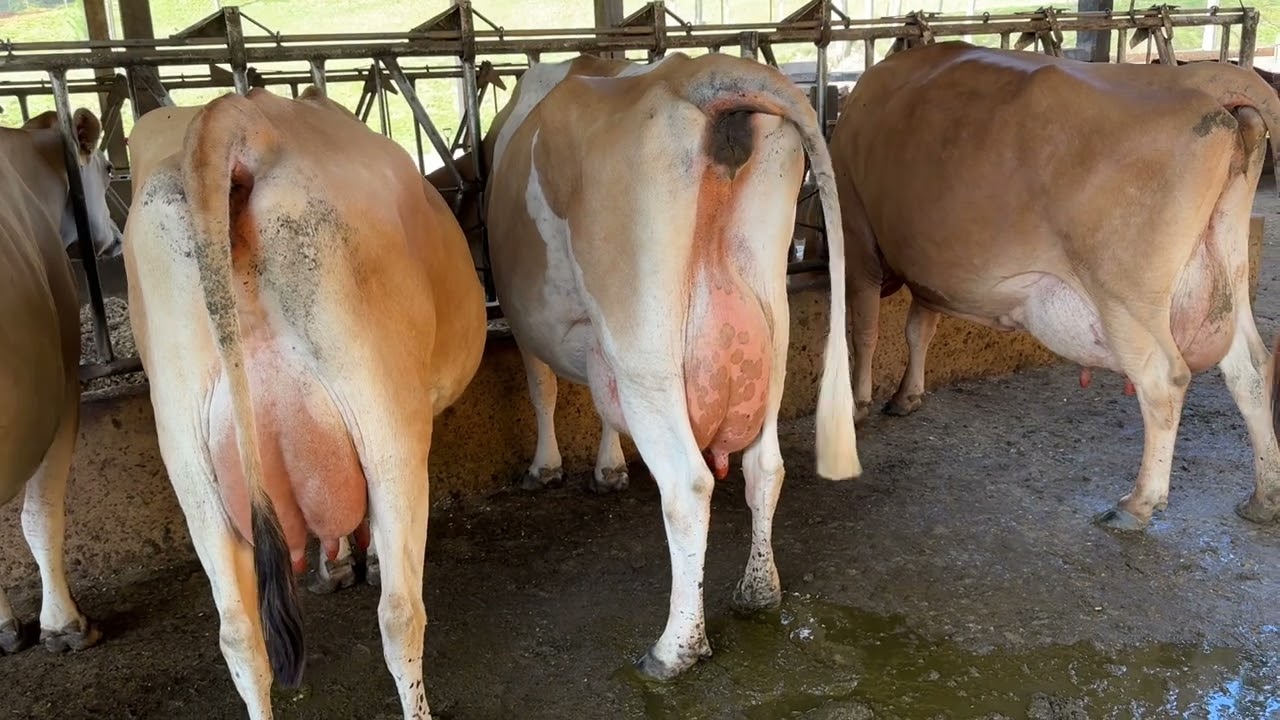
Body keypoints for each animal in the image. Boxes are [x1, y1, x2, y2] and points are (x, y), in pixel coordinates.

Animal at [121, 86, 487, 717]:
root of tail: (239, 117)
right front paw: (354, 560)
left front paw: (333, 562)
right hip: (385, 419)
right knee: (399, 615)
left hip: (189, 458)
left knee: (239, 635)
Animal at [471, 51, 861, 680]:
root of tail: (696, 73)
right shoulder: (597, 341)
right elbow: (598, 408)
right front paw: (608, 468)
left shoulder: (536, 323)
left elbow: (543, 389)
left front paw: (545, 466)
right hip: (770, 330)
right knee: (766, 468)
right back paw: (758, 592)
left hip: (643, 344)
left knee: (687, 486)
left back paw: (674, 648)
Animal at [833, 40, 1280, 532]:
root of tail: (1198, 79)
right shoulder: (928, 268)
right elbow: (920, 328)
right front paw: (907, 394)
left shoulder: (856, 234)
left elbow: (865, 329)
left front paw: (857, 404)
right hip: (1226, 270)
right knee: (1251, 368)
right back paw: (1265, 496)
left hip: (1126, 297)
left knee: (1163, 380)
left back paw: (1137, 504)